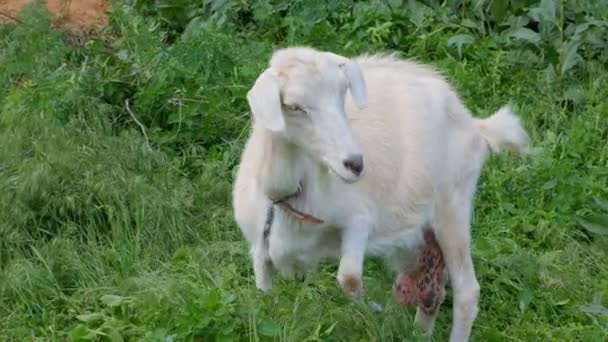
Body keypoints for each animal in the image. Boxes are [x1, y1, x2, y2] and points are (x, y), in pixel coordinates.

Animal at [230, 46, 528, 340]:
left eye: (343, 93)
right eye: (293, 106)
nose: (354, 163)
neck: (289, 193)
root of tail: (474, 124)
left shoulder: (359, 217)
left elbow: (348, 278)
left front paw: (369, 314)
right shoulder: (259, 251)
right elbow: (265, 298)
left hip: (453, 203)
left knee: (467, 291)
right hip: (414, 233)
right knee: (429, 286)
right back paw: (418, 331)